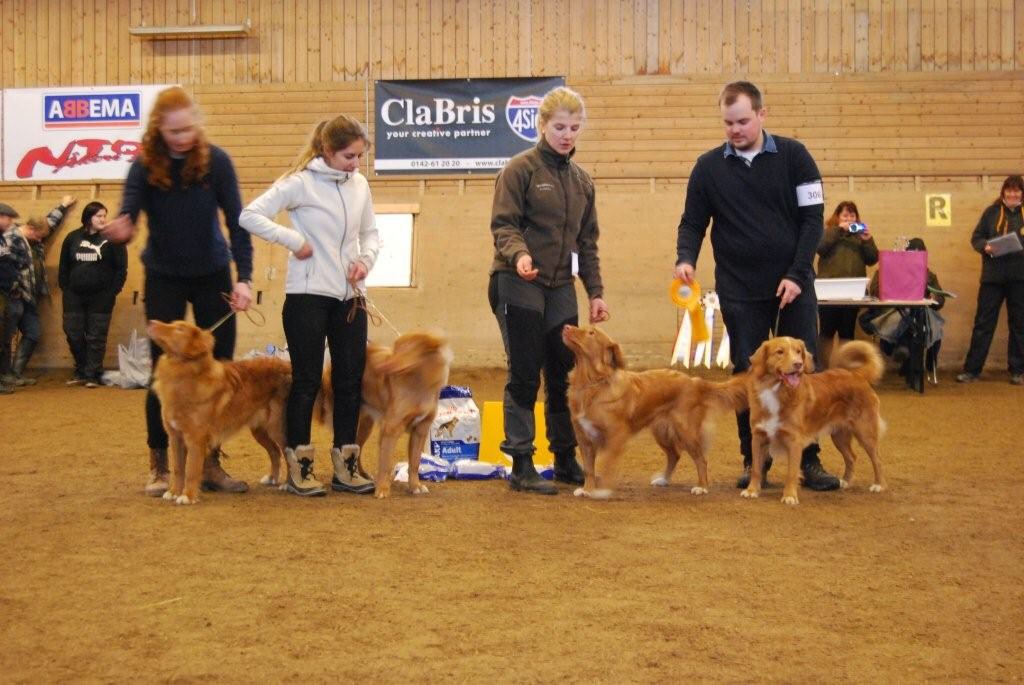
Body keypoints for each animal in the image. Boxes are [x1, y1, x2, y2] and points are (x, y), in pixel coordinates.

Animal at [148, 320, 292, 505]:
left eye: (179, 329)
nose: (151, 322)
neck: (183, 372)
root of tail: (286, 366)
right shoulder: (175, 436)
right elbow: (178, 468)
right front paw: (174, 492)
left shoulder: (196, 438)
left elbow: (191, 469)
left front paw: (188, 496)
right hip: (259, 430)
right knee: (274, 451)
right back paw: (272, 478)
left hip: (277, 428)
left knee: (288, 454)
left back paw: (289, 484)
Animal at [316, 331, 453, 498]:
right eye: (396, 349)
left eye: (409, 350)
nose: (383, 367)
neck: (419, 383)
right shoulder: (391, 428)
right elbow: (386, 463)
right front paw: (382, 490)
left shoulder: (420, 430)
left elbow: (415, 463)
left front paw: (415, 486)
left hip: (366, 425)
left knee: (357, 449)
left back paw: (363, 475)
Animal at [562, 325, 742, 500]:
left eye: (591, 332)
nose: (566, 327)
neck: (590, 383)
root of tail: (694, 381)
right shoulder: (584, 437)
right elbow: (589, 469)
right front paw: (587, 489)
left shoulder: (616, 435)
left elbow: (606, 464)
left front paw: (602, 490)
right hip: (662, 432)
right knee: (675, 455)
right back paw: (663, 479)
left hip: (685, 431)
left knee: (701, 459)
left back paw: (702, 487)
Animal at [741, 336, 886, 506]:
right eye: (780, 352)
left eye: (798, 352)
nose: (798, 364)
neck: (776, 390)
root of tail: (856, 374)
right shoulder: (758, 437)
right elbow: (756, 468)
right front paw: (752, 490)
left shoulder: (794, 440)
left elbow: (791, 472)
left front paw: (789, 496)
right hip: (839, 435)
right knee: (851, 457)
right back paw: (845, 481)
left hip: (865, 431)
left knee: (877, 459)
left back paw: (879, 485)